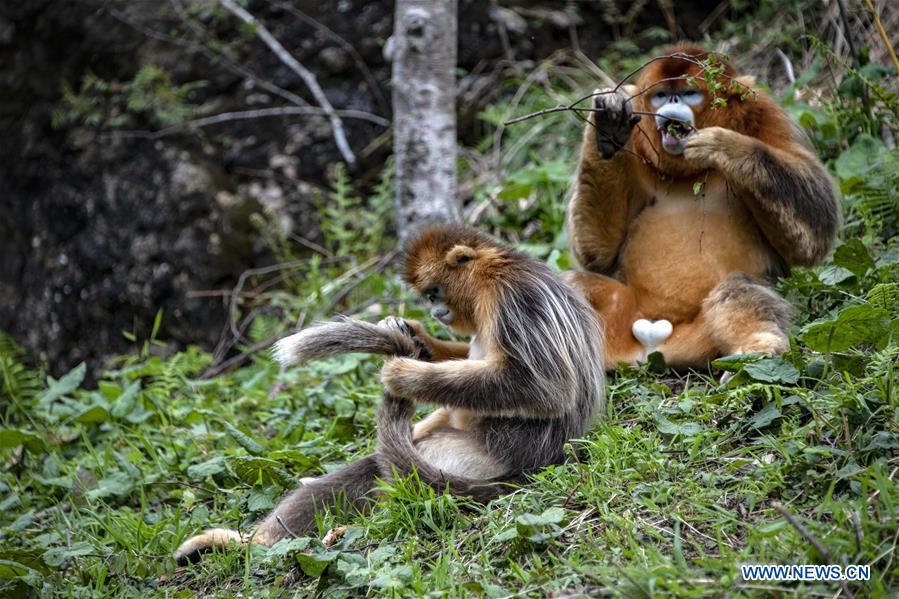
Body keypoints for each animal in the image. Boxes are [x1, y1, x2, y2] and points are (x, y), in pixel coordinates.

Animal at [174, 226, 604, 568]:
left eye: (434, 292)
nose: (435, 312)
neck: (492, 272)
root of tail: (530, 469)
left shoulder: (515, 297)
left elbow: (545, 388)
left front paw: (403, 375)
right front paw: (410, 333)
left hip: (473, 457)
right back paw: (248, 543)